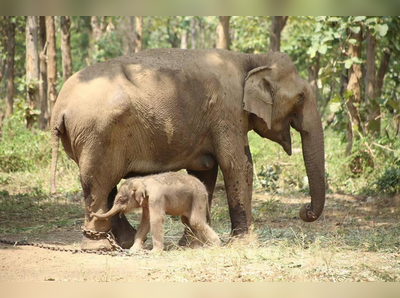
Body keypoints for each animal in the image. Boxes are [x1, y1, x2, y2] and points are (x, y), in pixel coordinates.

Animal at [90, 172, 220, 251]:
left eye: (121, 199)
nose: (91, 213)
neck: (142, 180)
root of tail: (205, 189)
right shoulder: (147, 203)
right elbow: (145, 222)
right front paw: (133, 249)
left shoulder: (156, 197)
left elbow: (156, 219)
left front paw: (154, 252)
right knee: (187, 221)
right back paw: (196, 247)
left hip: (198, 197)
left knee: (195, 221)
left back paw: (215, 245)